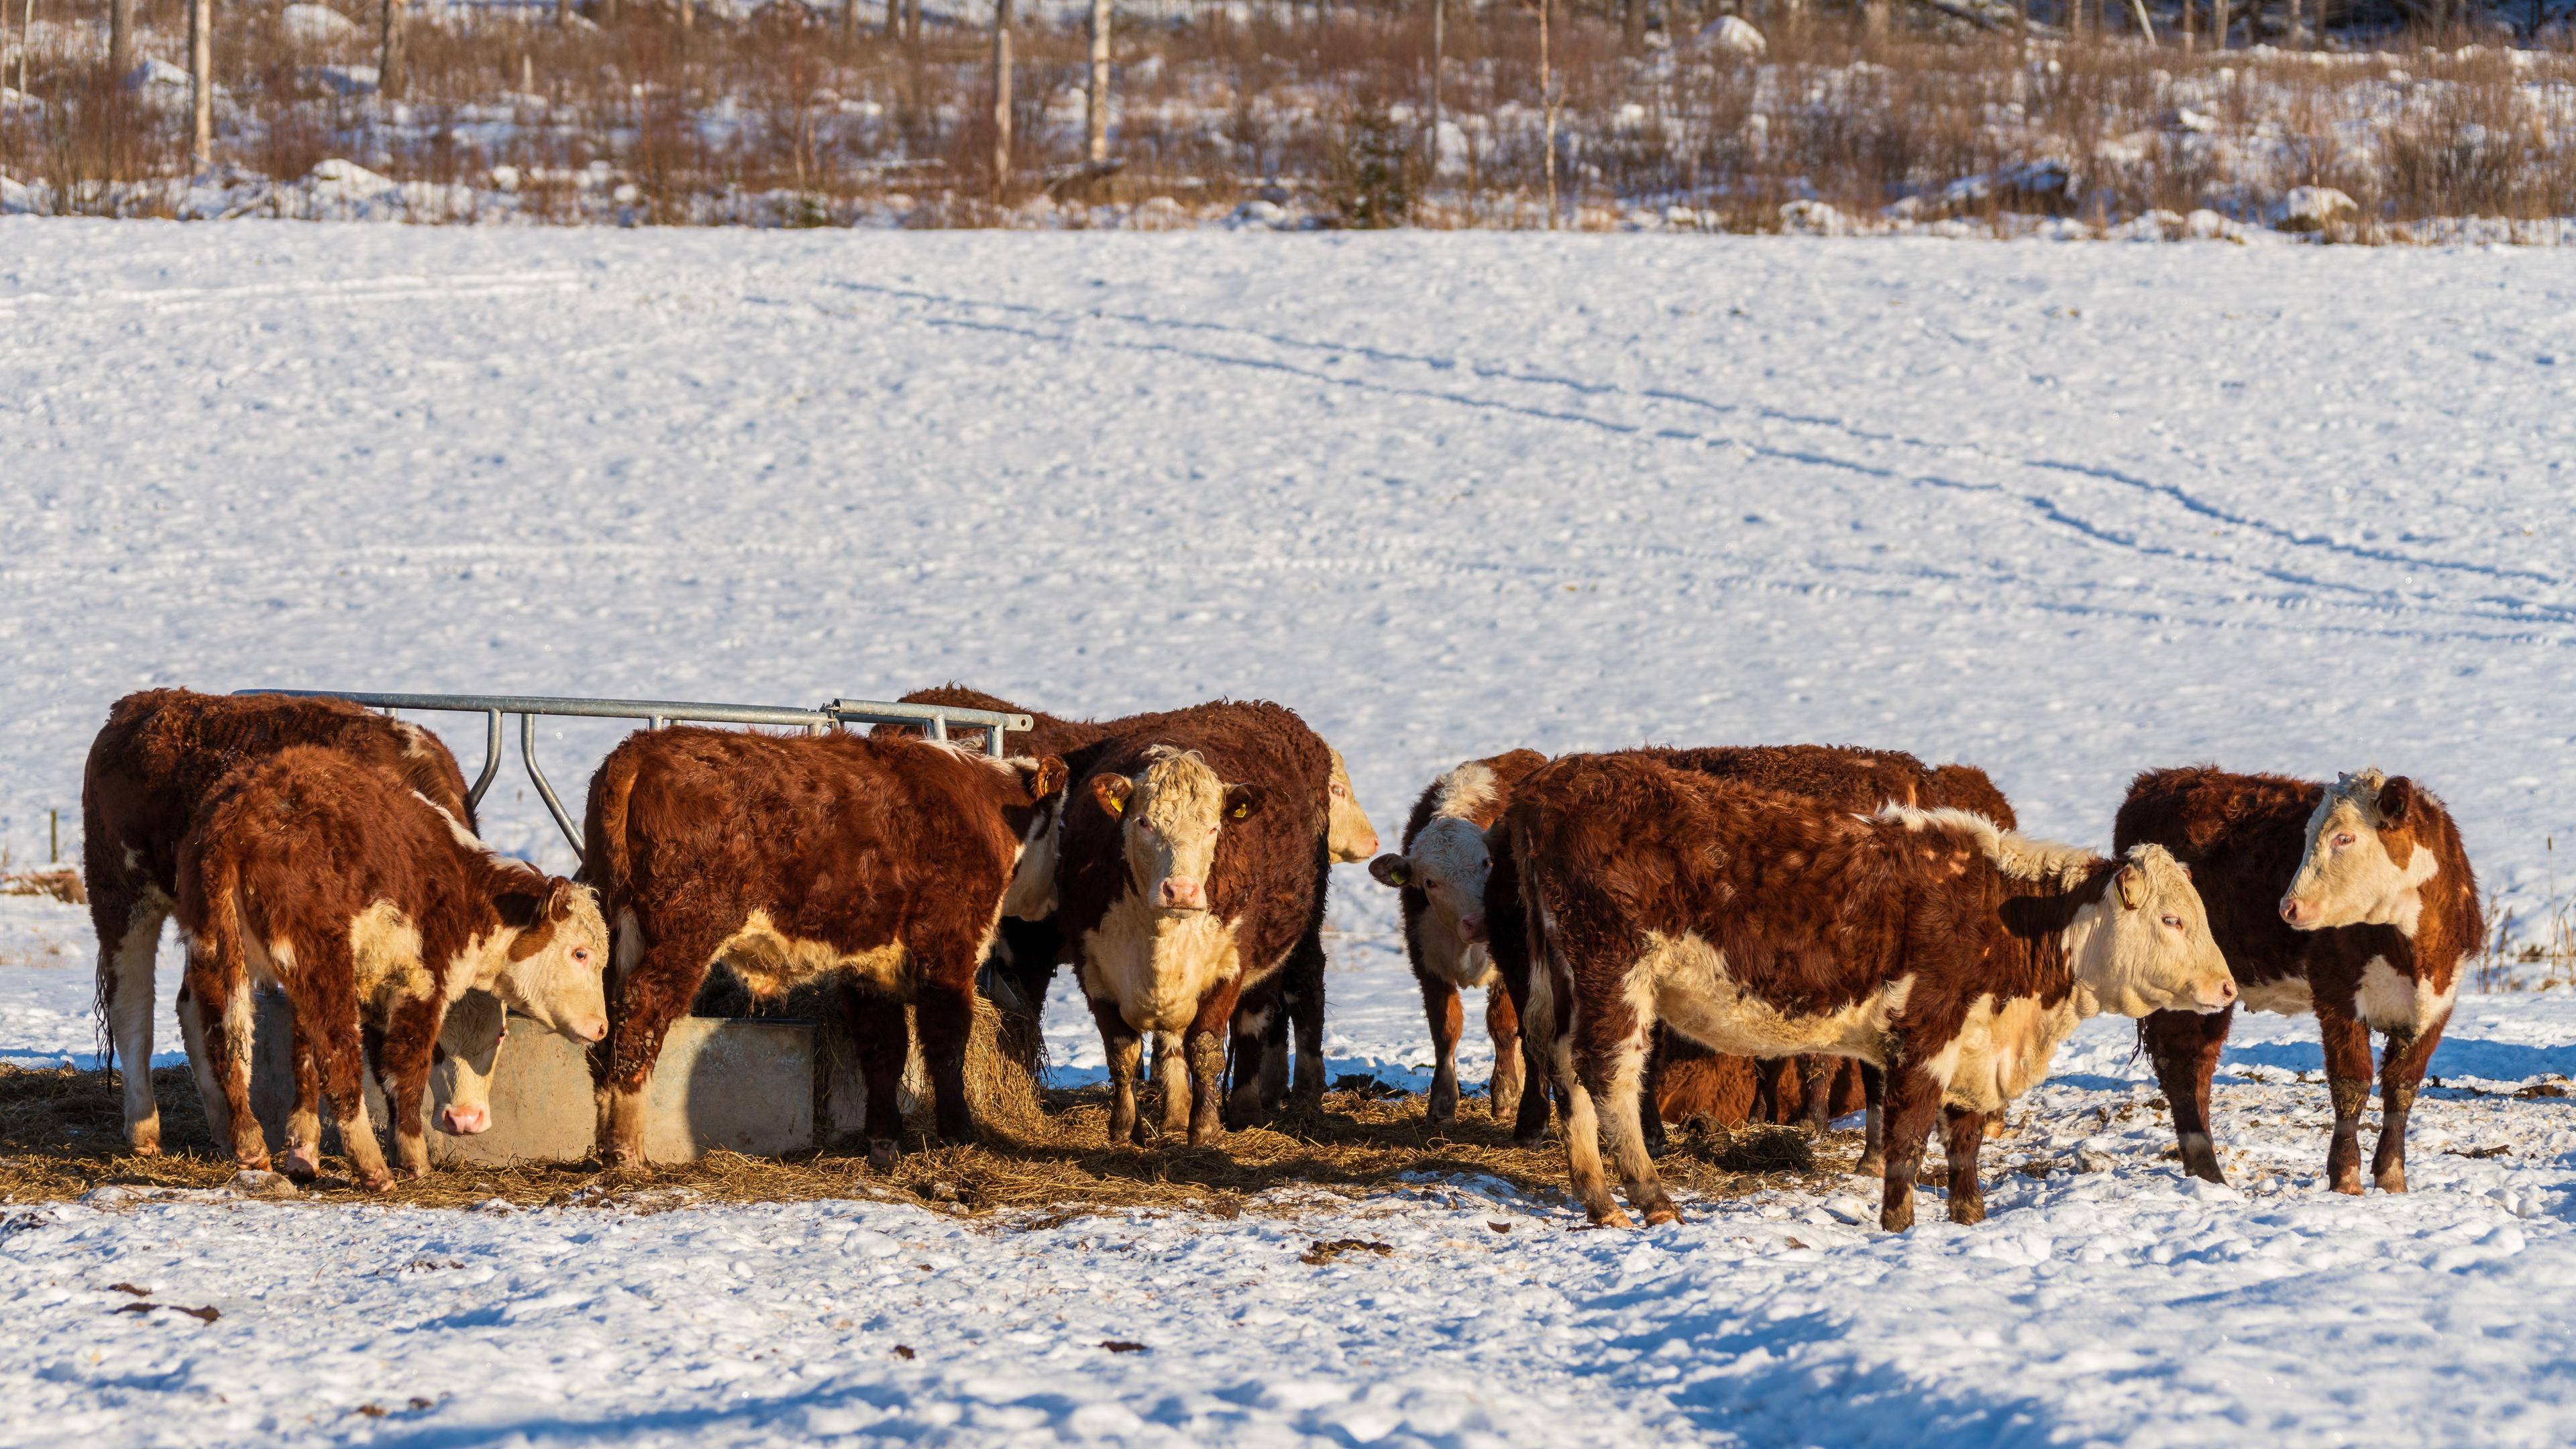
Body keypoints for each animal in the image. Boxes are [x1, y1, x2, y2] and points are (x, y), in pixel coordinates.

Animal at [78, 680, 510, 1155]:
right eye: (437, 1044)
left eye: (500, 1034)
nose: (465, 1120)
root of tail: (139, 705)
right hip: (122, 896)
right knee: (132, 1007)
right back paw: (144, 1129)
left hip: (211, 928)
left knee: (197, 1007)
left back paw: (226, 1129)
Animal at [584, 727, 1066, 1165]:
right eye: (1062, 825)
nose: (1054, 899)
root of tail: (641, 749)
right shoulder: (948, 949)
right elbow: (947, 1044)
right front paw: (959, 1134)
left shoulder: (870, 968)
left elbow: (884, 1050)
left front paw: (884, 1143)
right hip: (687, 929)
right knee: (644, 1010)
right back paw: (627, 1151)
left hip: (616, 929)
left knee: (606, 1018)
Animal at [1504, 747, 2236, 1222]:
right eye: (2172, 919)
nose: (2227, 989)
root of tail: (1552, 783)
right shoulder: (1925, 1031)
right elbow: (1907, 1138)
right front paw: (1899, 1224)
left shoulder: (1972, 1044)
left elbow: (1964, 1141)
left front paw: (1968, 1219)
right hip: (1615, 973)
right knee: (1608, 1076)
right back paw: (1652, 1200)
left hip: (1562, 979)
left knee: (1564, 1068)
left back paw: (1599, 1200)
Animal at [2112, 763, 2473, 1191]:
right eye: (2306, 835)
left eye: (2344, 837)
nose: (2288, 907)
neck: (2413, 952)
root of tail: (2160, 780)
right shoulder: (2337, 994)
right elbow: (2352, 1082)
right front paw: (2346, 1179)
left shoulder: (2435, 1003)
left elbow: (2402, 1088)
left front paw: (2392, 1180)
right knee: (2181, 1065)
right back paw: (2209, 1170)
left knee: (2199, 1063)